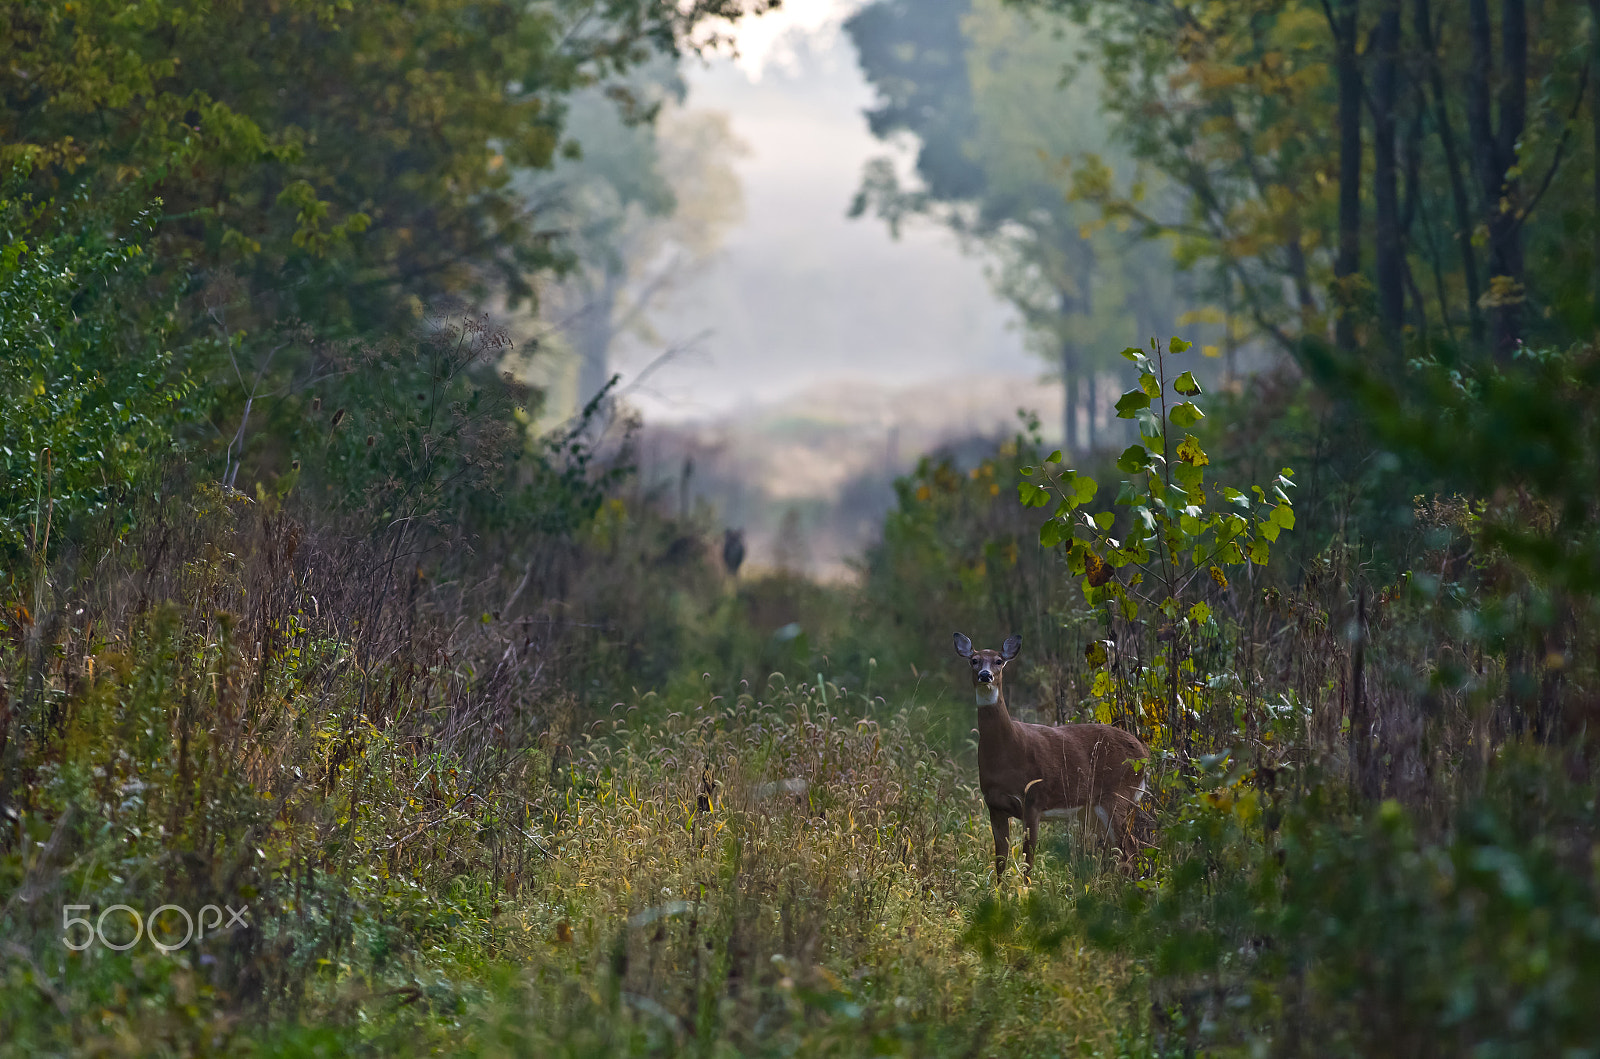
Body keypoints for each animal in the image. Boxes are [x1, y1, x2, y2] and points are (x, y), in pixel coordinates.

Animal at [953, 633, 1145, 883]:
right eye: (974, 660)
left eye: (998, 661)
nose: (985, 675)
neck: (1006, 754)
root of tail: (1145, 754)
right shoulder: (994, 805)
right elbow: (1000, 861)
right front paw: (998, 891)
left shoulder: (1033, 800)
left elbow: (1028, 860)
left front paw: (1027, 889)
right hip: (1094, 808)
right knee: (1120, 850)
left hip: (1118, 795)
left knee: (1130, 848)